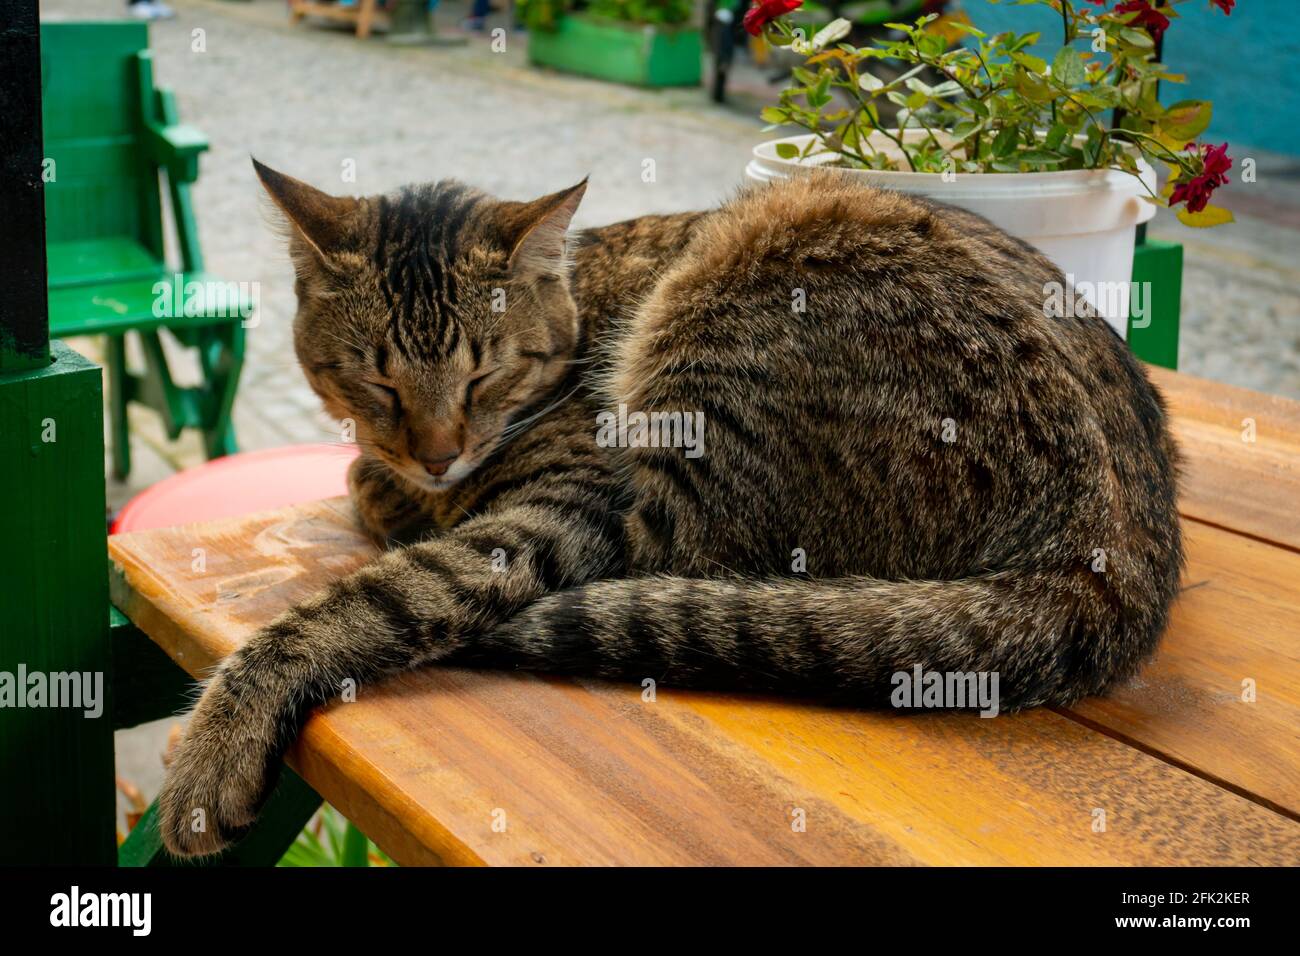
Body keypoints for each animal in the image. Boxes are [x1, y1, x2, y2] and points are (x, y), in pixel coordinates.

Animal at [157, 160, 1185, 858]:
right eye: (373, 380)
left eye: (484, 373)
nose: (438, 452)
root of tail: (1118, 542)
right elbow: (370, 483)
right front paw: (390, 480)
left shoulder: (567, 506)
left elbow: (373, 593)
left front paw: (217, 740)